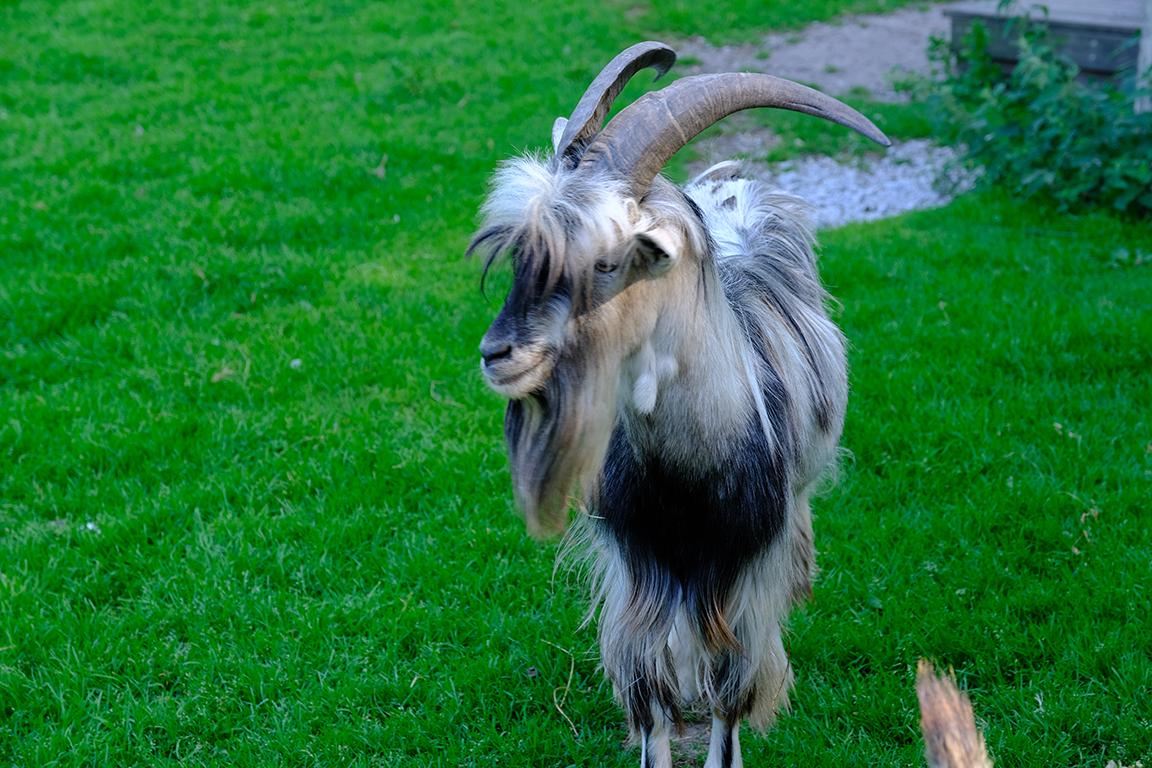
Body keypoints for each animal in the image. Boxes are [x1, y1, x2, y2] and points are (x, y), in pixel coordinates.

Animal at [467, 42, 889, 768]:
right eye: (524, 251)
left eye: (606, 261)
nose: (500, 354)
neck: (690, 473)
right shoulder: (640, 576)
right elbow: (651, 700)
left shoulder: (746, 578)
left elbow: (731, 698)